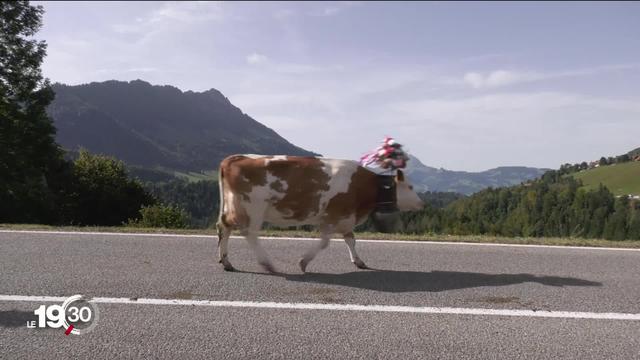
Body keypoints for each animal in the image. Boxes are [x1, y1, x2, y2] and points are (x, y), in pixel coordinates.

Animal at [216, 155, 424, 272]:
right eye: (411, 187)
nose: (422, 203)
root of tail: (233, 158)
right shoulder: (335, 215)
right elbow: (325, 243)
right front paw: (304, 262)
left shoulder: (345, 217)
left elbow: (351, 240)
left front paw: (359, 261)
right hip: (254, 208)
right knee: (249, 233)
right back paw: (267, 264)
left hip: (233, 205)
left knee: (224, 227)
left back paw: (226, 262)